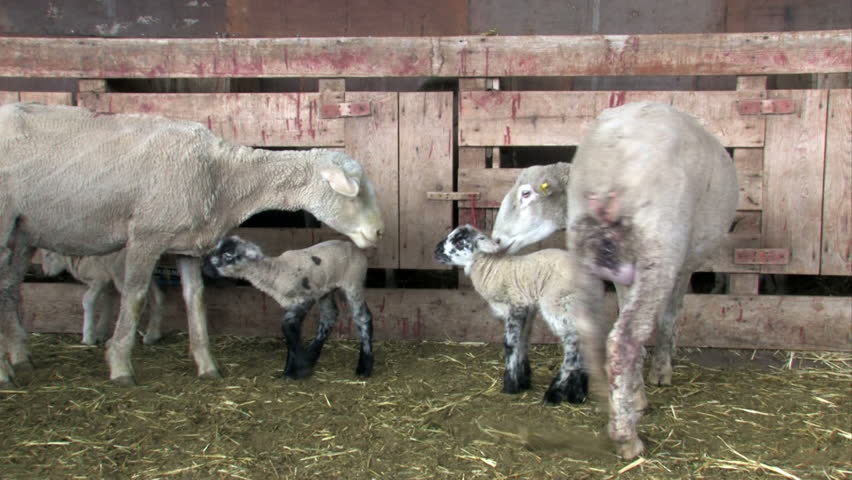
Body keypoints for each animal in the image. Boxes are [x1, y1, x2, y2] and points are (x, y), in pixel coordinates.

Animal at [204, 236, 373, 379]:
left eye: (228, 255)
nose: (204, 267)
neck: (276, 272)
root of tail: (354, 247)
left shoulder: (304, 299)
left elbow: (289, 329)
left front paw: (293, 370)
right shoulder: (293, 303)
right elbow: (289, 332)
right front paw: (293, 368)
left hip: (353, 282)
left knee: (362, 318)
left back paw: (364, 368)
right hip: (326, 289)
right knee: (329, 316)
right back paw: (311, 356)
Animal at [434, 224, 605, 405]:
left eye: (459, 242)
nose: (436, 250)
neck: (491, 269)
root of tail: (593, 280)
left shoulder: (516, 305)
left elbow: (510, 344)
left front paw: (509, 384)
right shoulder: (528, 309)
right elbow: (522, 341)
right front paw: (523, 380)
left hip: (559, 304)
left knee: (572, 345)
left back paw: (555, 392)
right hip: (586, 309)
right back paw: (578, 394)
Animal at [492, 101, 738, 459]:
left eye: (526, 194)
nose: (496, 240)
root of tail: (610, 161)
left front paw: (635, 387)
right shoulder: (682, 265)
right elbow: (668, 318)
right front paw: (660, 372)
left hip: (590, 253)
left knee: (590, 331)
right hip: (658, 246)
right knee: (623, 337)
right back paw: (627, 437)